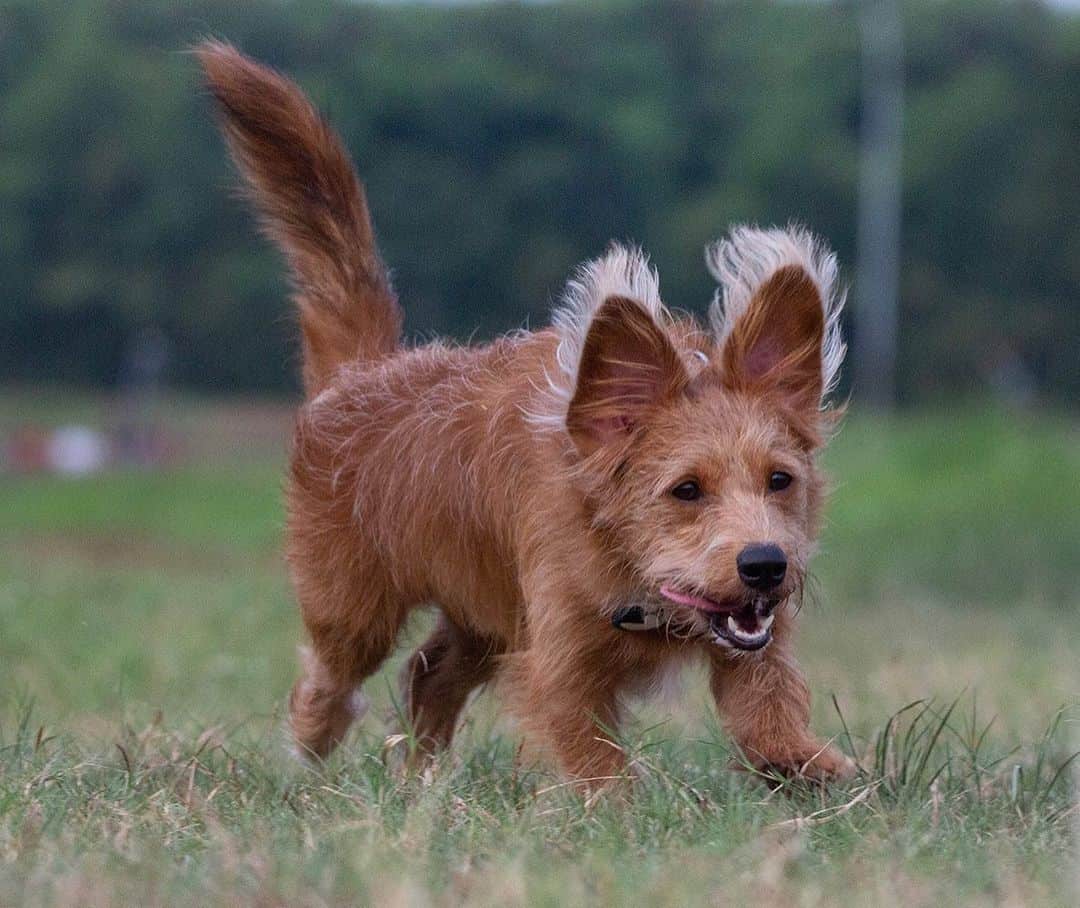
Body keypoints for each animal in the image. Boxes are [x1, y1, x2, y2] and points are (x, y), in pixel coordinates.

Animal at [200, 38, 859, 781]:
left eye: (781, 480)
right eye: (686, 490)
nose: (766, 564)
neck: (632, 579)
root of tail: (364, 372)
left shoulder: (750, 643)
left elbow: (767, 715)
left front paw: (816, 769)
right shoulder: (557, 658)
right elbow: (592, 757)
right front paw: (613, 806)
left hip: (482, 615)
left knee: (429, 671)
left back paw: (422, 781)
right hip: (354, 611)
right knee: (330, 680)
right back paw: (312, 749)